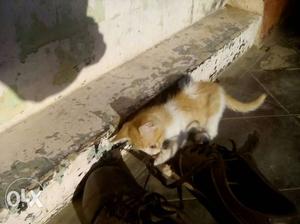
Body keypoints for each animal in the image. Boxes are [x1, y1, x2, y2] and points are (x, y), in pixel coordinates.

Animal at [113, 80, 266, 164]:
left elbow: (174, 147)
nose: (153, 154)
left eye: (152, 146)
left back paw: (201, 136)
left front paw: (161, 159)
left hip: (212, 114)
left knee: (212, 130)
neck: (166, 119)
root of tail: (220, 90)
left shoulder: (180, 134)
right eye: (144, 150)